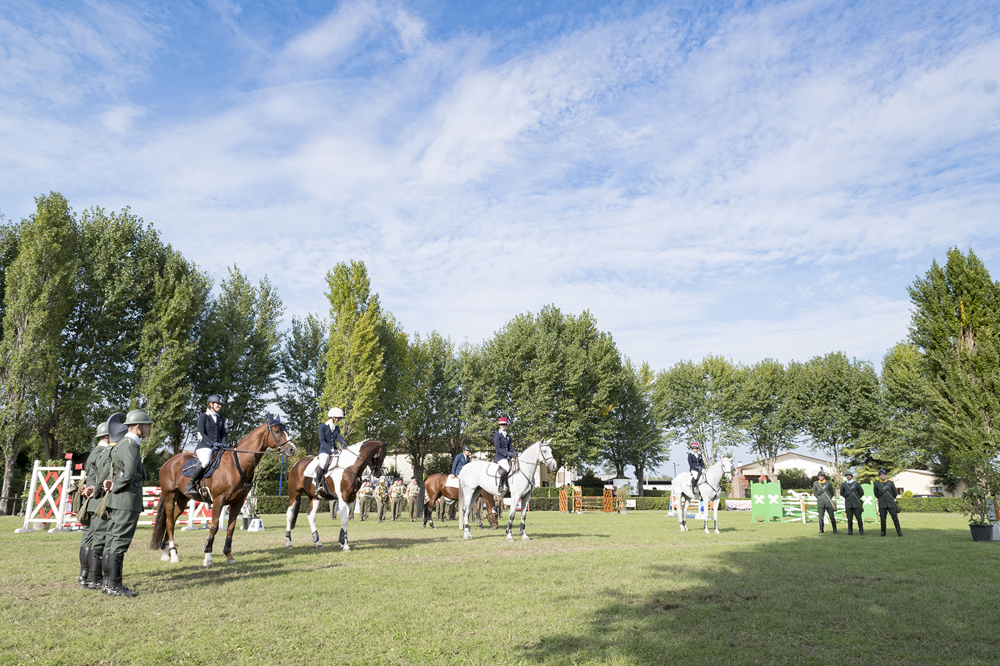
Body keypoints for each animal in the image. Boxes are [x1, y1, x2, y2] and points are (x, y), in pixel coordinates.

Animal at [150, 418, 294, 564]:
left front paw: (228, 556)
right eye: (277, 431)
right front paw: (207, 556)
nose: (292, 449)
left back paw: (166, 552)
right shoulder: (219, 500)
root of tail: (168, 463)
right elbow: (214, 526)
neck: (236, 464)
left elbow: (231, 527)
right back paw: (173, 555)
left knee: (172, 521)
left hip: (182, 499)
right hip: (170, 496)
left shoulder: (237, 503)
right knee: (169, 522)